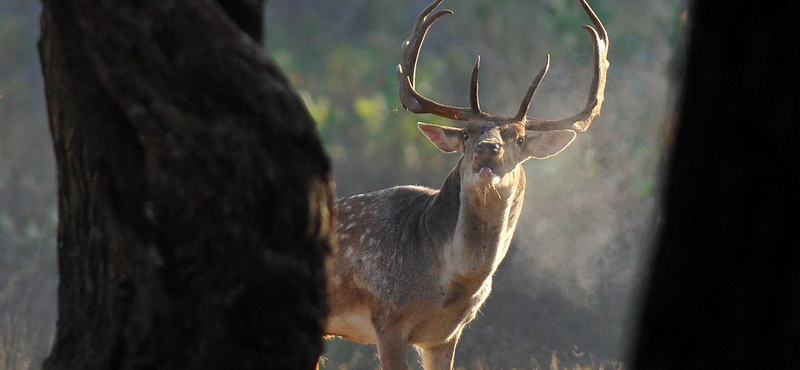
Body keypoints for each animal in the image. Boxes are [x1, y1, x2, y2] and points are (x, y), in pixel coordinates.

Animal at [324, 0, 608, 370]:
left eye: (518, 138)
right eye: (465, 134)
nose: (489, 148)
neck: (449, 282)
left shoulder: (446, 334)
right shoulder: (387, 318)